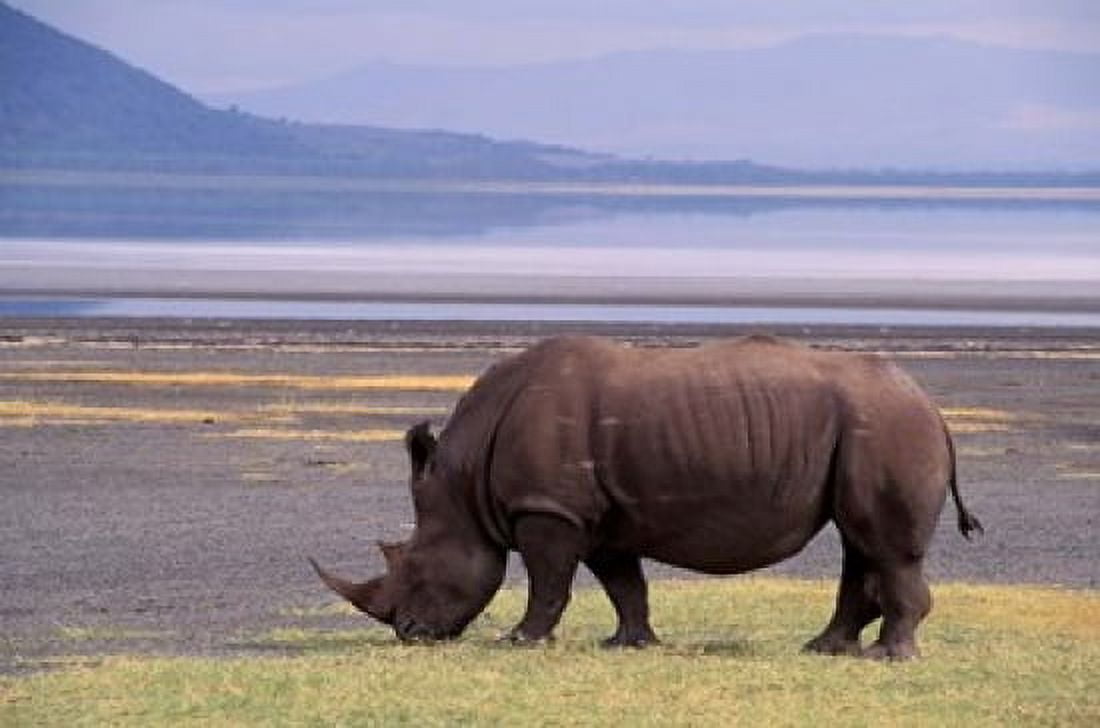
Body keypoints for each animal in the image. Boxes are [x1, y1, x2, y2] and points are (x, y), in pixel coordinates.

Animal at [311, 334, 982, 659]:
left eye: (416, 567)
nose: (409, 633)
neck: (465, 481)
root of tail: (932, 408)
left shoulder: (548, 508)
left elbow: (547, 583)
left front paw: (521, 641)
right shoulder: (597, 516)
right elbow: (623, 584)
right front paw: (628, 644)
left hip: (886, 426)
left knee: (881, 544)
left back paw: (887, 658)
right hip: (872, 427)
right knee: (856, 539)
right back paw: (824, 649)